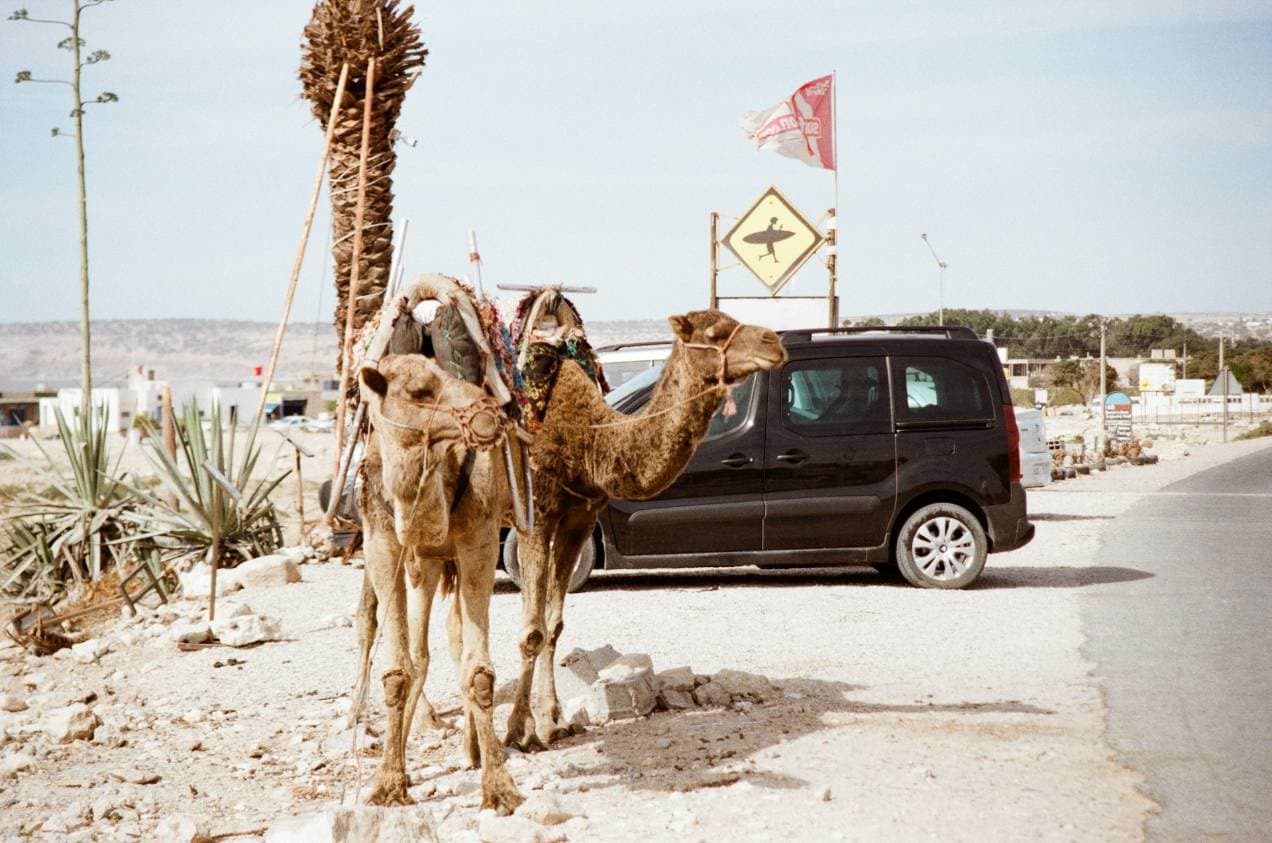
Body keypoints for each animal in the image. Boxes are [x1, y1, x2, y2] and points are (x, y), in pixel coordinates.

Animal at [503, 310, 788, 752]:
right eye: (714, 332)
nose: (774, 342)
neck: (589, 440)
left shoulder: (578, 520)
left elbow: (553, 624)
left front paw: (553, 724)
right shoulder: (537, 516)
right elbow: (532, 631)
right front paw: (519, 730)